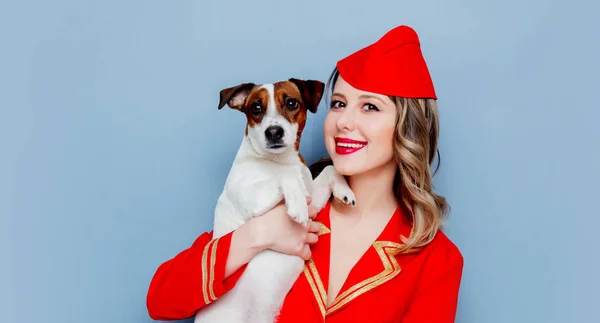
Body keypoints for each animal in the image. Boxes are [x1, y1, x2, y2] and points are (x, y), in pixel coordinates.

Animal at [195, 79, 356, 323]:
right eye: (256, 108)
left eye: (291, 103)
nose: (273, 132)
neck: (281, 161)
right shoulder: (252, 200)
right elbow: (285, 178)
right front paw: (297, 204)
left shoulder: (313, 199)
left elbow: (330, 169)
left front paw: (345, 191)